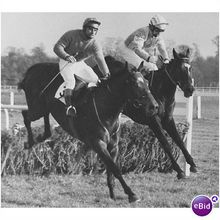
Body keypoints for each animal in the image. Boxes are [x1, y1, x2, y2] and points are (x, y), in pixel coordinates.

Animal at [18, 57, 157, 202]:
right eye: (135, 84)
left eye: (147, 82)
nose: (154, 106)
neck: (105, 108)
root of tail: (32, 70)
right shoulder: (98, 143)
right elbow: (115, 168)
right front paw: (131, 194)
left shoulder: (113, 145)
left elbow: (111, 169)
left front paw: (113, 194)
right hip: (37, 108)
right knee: (25, 115)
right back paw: (29, 142)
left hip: (43, 107)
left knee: (41, 119)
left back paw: (41, 136)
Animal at [123, 48, 197, 179]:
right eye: (180, 68)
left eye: (190, 68)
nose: (190, 90)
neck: (162, 93)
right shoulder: (153, 120)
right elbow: (165, 143)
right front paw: (179, 170)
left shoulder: (168, 120)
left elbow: (179, 140)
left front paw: (192, 163)